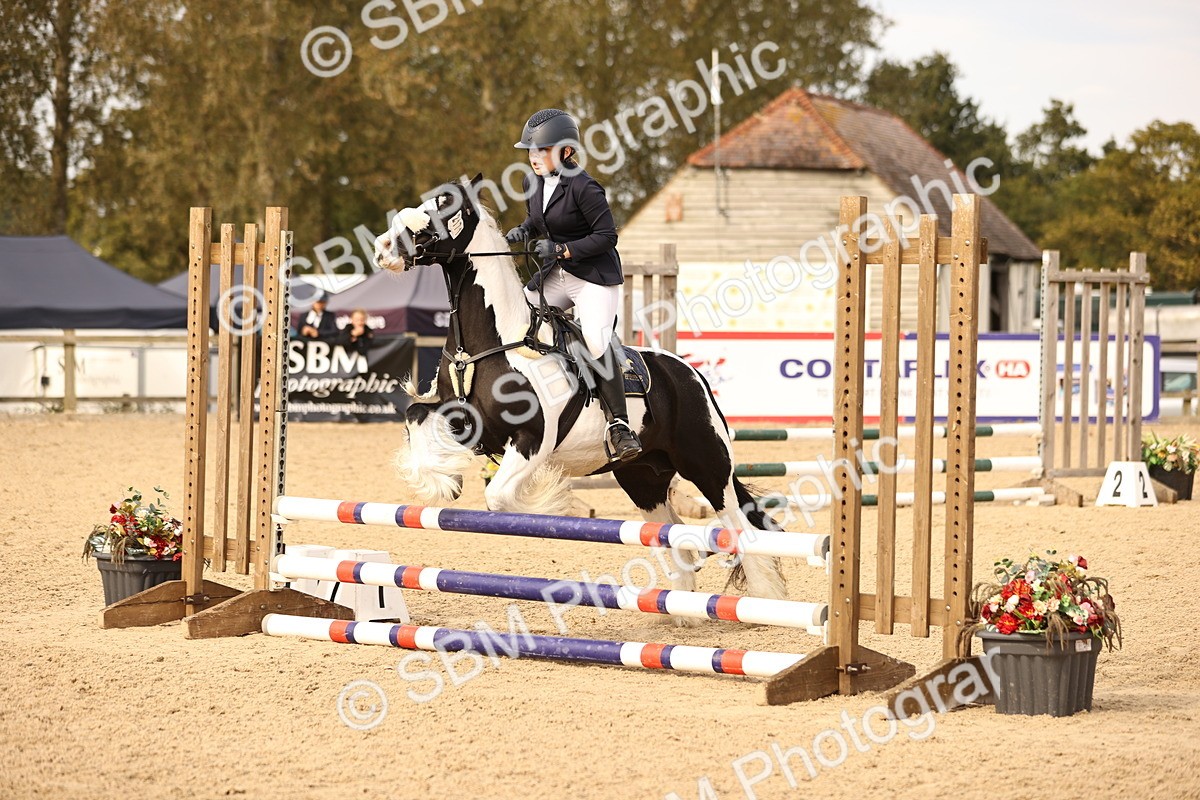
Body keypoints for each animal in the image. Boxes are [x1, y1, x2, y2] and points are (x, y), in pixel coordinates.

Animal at [372, 175, 788, 605]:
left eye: (445, 207)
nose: (383, 247)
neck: (494, 341)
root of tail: (691, 374)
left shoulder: (532, 438)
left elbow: (500, 497)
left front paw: (552, 503)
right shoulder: (464, 419)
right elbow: (416, 415)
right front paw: (445, 479)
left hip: (707, 466)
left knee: (742, 532)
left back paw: (759, 597)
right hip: (644, 477)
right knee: (672, 538)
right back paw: (678, 605)